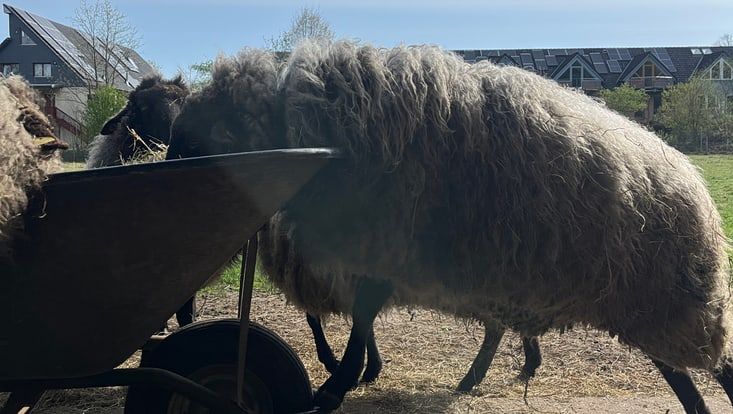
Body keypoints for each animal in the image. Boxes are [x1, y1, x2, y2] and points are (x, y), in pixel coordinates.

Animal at [165, 41, 733, 414]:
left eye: (194, 137)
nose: (167, 176)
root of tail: (697, 190)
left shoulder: (379, 249)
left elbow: (358, 322)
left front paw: (337, 385)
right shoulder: (371, 256)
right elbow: (360, 321)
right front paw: (353, 375)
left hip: (669, 301)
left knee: (715, 369)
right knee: (686, 381)